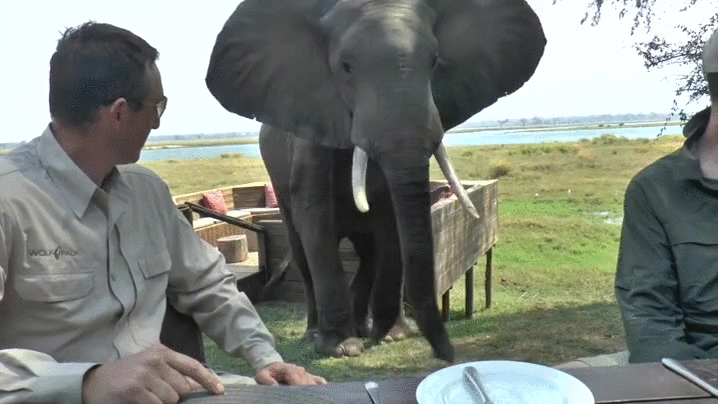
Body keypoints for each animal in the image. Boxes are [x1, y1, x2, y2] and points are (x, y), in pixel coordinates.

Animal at [206, 0, 546, 362]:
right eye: (346, 67)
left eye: (435, 61)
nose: (448, 355)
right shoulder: (312, 134)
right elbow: (316, 219)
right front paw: (342, 348)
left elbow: (392, 222)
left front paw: (391, 337)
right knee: (300, 248)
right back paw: (316, 333)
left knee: (368, 252)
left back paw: (365, 326)